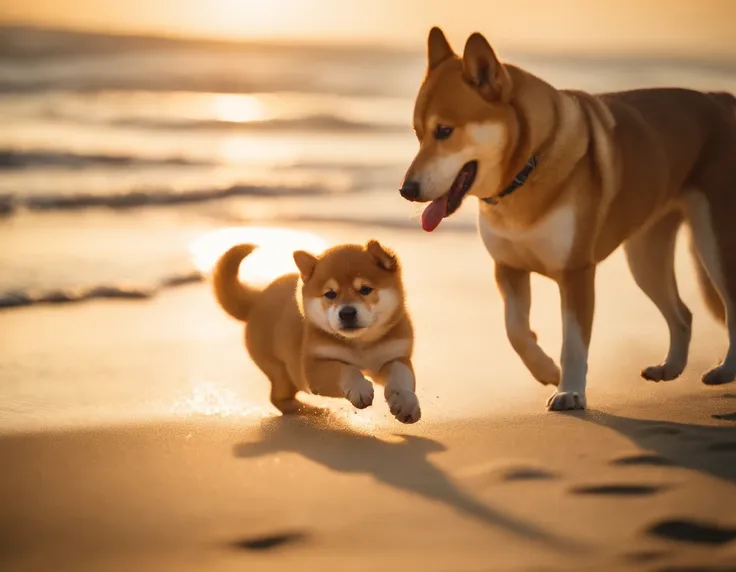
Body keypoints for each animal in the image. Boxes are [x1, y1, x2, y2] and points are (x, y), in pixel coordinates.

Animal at [211, 239, 420, 422]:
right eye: (330, 294)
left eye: (366, 289)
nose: (347, 313)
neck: (360, 344)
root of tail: (257, 300)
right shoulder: (313, 367)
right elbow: (345, 369)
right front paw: (359, 387)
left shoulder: (394, 357)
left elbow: (402, 378)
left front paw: (406, 402)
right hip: (283, 373)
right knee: (277, 397)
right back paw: (310, 410)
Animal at [400, 26, 736, 412]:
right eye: (417, 133)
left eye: (444, 131)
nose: (406, 190)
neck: (525, 172)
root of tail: (720, 98)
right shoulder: (508, 266)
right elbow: (515, 331)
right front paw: (547, 370)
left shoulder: (576, 273)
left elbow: (573, 342)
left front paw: (570, 391)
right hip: (645, 257)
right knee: (682, 314)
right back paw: (671, 367)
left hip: (715, 244)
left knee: (728, 305)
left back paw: (724, 370)